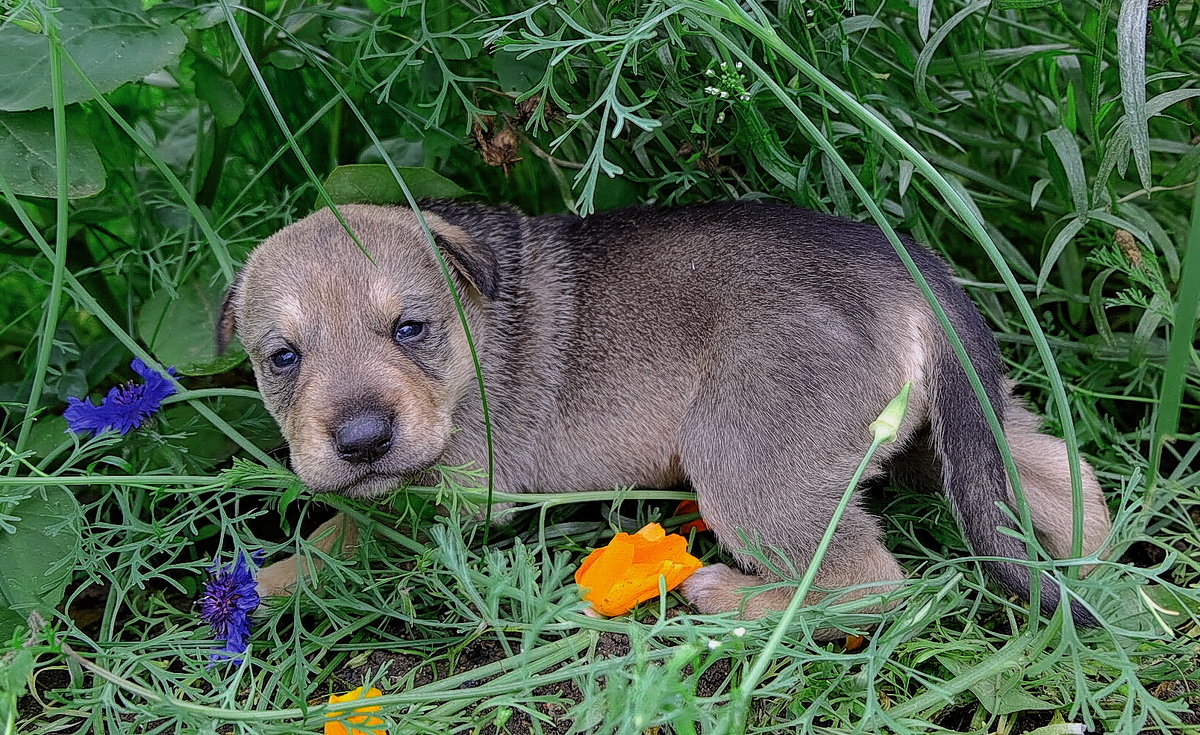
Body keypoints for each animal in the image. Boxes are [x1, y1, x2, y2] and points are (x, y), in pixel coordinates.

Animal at [220, 199, 1108, 624]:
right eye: (283, 357)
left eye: (410, 328)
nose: (363, 440)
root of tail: (911, 273)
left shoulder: (451, 488)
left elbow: (341, 535)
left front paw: (257, 585)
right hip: (956, 427)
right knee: (1056, 473)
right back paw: (1106, 564)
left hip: (746, 457)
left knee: (874, 586)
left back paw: (734, 601)